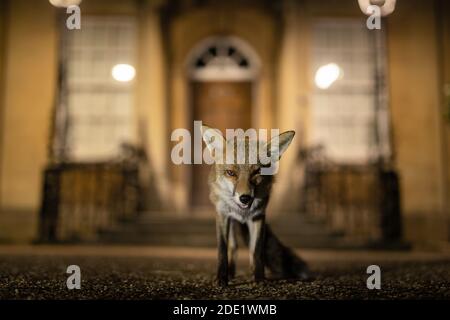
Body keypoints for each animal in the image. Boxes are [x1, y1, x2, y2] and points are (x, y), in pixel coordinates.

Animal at [201, 124, 312, 284]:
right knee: (233, 246)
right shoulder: (222, 215)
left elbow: (257, 251)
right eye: (230, 173)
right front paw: (221, 278)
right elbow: (222, 250)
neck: (242, 212)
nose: (245, 198)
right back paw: (231, 273)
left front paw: (259, 279)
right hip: (231, 222)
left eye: (257, 172)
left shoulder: (258, 216)